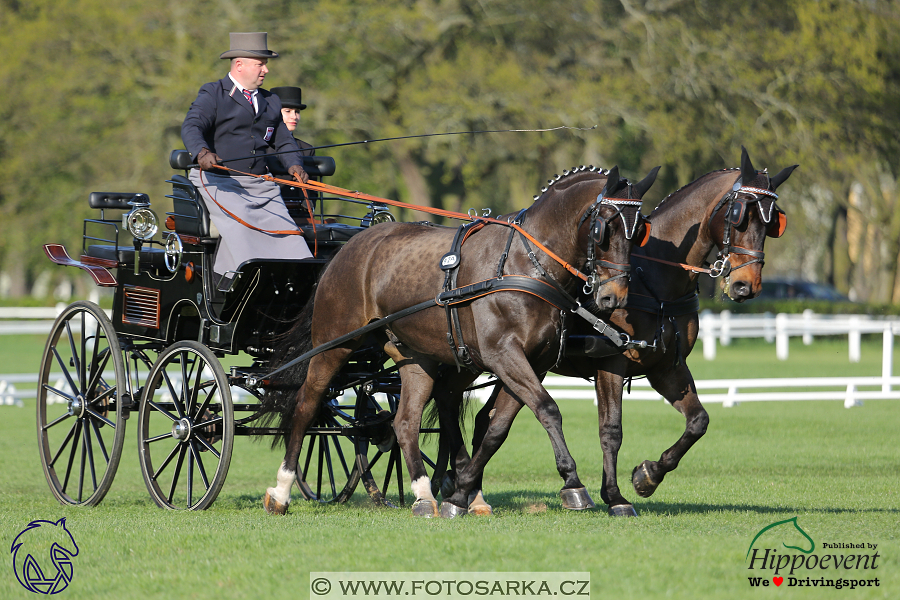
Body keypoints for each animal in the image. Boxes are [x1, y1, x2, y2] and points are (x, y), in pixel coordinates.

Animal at [260, 164, 660, 516]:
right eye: (604, 228)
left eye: (640, 230)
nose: (613, 298)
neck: (525, 264)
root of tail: (350, 246)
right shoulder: (504, 355)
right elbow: (547, 409)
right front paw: (573, 484)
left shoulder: (533, 363)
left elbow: (497, 426)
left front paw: (463, 491)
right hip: (334, 343)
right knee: (308, 405)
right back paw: (281, 491)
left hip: (414, 356)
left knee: (406, 421)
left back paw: (424, 497)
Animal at [460, 146, 800, 516]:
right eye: (738, 214)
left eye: (773, 222)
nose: (745, 286)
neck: (652, 279)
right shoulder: (611, 363)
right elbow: (611, 430)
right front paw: (615, 495)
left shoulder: (666, 367)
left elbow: (698, 421)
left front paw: (648, 475)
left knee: (486, 420)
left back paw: (471, 493)